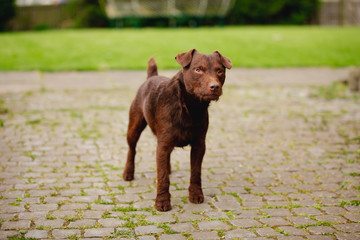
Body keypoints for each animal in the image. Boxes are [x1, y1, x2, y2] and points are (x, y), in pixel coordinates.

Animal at [122, 49, 232, 212]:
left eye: (219, 71)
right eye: (198, 70)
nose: (215, 86)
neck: (190, 106)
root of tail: (151, 77)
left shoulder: (199, 144)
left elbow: (195, 172)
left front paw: (195, 194)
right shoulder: (164, 144)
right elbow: (162, 178)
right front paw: (162, 202)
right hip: (134, 126)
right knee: (132, 149)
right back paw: (128, 172)